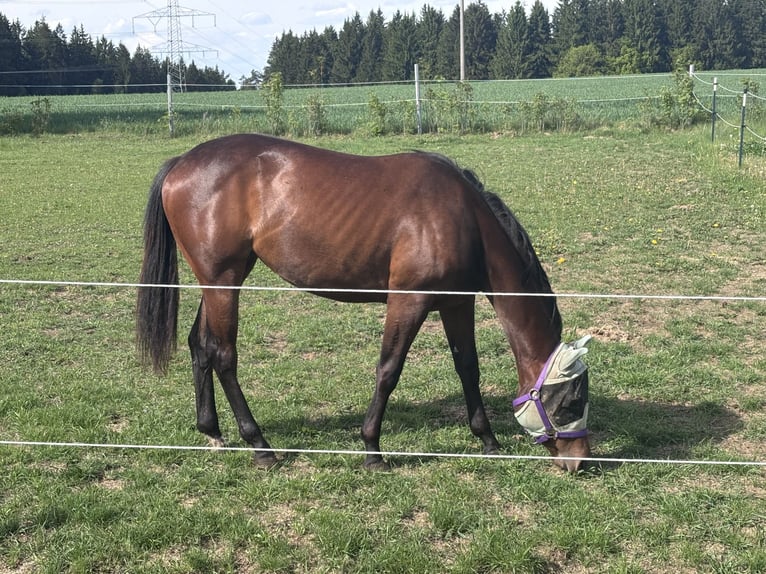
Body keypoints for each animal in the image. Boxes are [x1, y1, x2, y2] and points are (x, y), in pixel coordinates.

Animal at [136, 133, 592, 472]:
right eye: (571, 401)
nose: (581, 461)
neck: (462, 219)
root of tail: (182, 162)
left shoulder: (455, 304)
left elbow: (468, 367)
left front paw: (488, 440)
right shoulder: (409, 302)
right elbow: (388, 370)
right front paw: (372, 447)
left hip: (219, 282)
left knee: (201, 346)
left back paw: (212, 430)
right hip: (224, 282)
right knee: (224, 355)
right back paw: (260, 444)